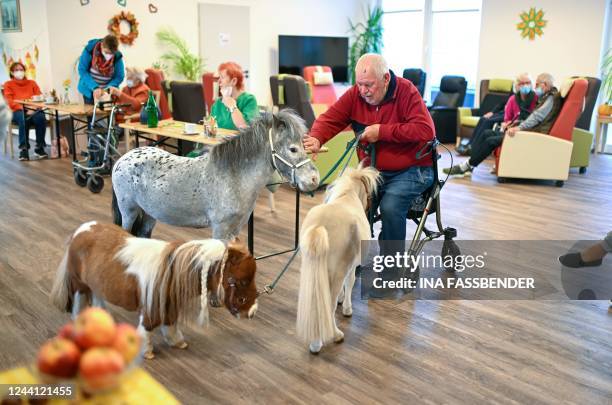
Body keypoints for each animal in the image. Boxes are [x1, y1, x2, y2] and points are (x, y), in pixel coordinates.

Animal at [49, 223, 256, 358]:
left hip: (97, 283)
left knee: (98, 297)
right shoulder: (151, 308)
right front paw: (146, 352)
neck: (171, 271)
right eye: (242, 281)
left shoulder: (169, 305)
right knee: (79, 301)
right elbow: (148, 327)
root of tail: (81, 230)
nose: (252, 312)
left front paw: (177, 342)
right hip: (79, 284)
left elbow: (171, 324)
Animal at [296, 166, 378, 352]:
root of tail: (320, 226)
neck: (347, 195)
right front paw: (347, 308)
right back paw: (330, 338)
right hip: (337, 271)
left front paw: (342, 300)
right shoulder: (350, 266)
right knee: (328, 305)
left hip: (312, 269)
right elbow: (350, 283)